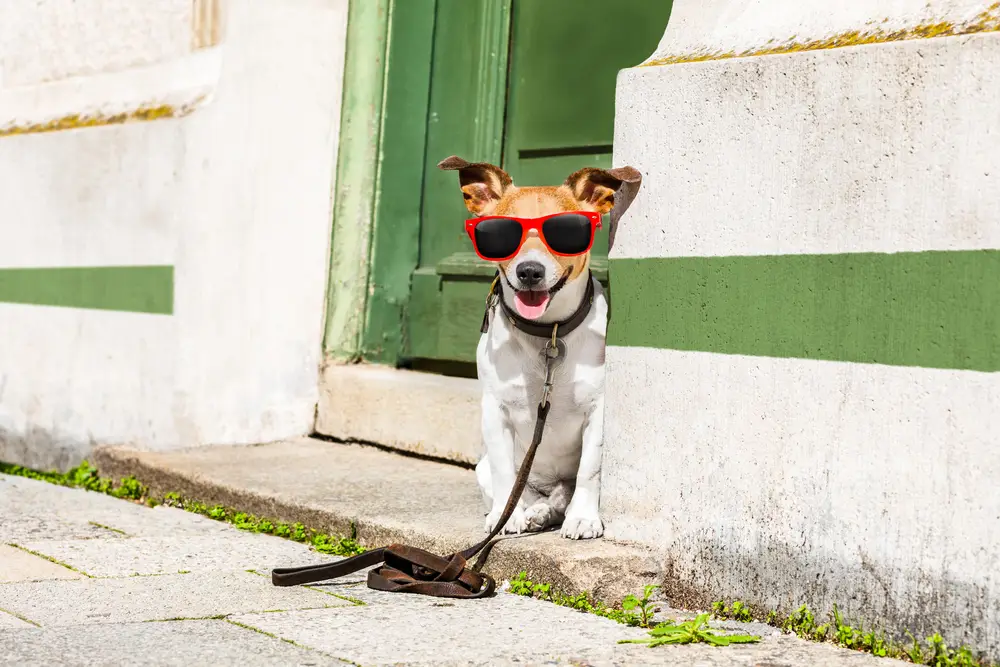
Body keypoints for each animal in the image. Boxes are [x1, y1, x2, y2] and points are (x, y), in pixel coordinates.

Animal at [442, 158, 644, 544]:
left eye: (566, 231)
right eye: (499, 234)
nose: (529, 271)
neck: (548, 334)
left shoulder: (598, 411)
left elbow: (590, 470)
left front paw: (583, 518)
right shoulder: (495, 411)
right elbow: (506, 472)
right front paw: (504, 517)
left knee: (562, 495)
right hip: (484, 468)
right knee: (525, 492)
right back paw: (529, 513)